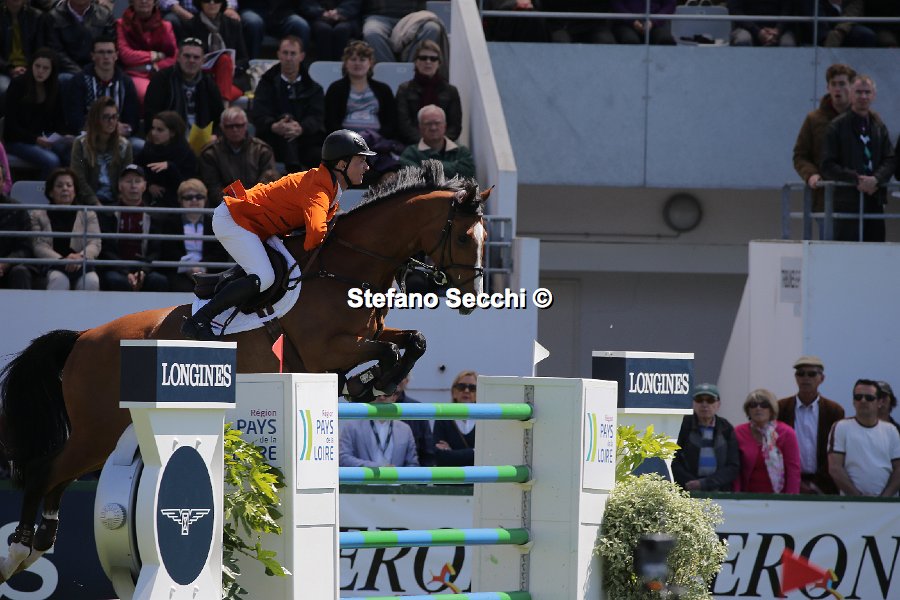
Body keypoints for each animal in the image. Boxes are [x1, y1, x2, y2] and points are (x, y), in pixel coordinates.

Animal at [0, 160, 489, 582]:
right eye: (466, 238)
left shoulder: (369, 334)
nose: (471, 298)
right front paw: (366, 381)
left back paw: (40, 543)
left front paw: (371, 382)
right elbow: (386, 353)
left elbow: (414, 341)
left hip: (103, 435)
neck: (347, 267)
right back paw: (20, 549)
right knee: (44, 471)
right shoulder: (327, 350)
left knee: (58, 479)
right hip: (96, 428)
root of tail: (83, 337)